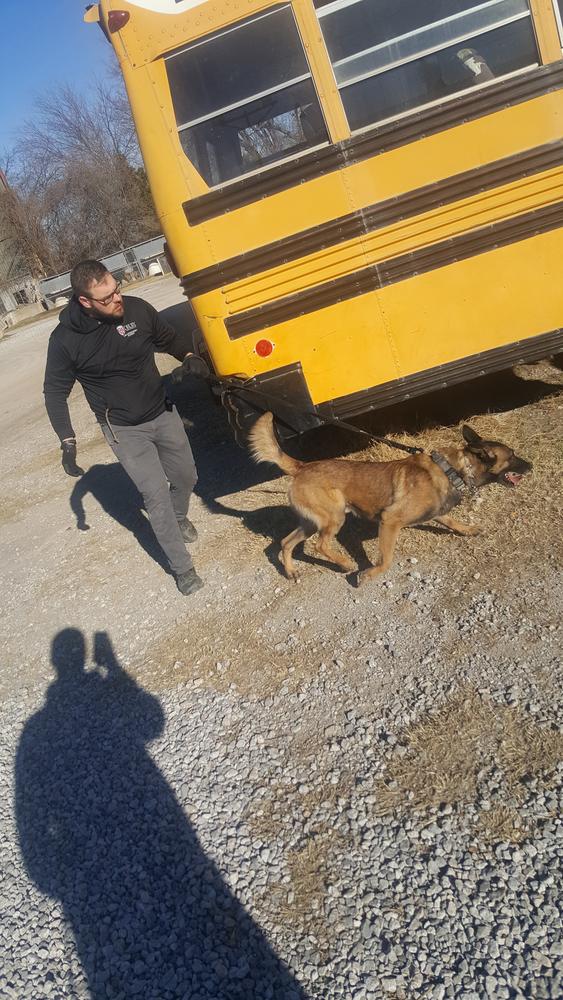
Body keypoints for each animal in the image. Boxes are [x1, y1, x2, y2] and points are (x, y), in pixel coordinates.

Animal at [249, 414, 532, 584]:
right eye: (512, 456)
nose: (531, 465)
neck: (453, 469)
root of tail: (302, 466)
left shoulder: (436, 510)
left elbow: (451, 520)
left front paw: (468, 529)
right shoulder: (390, 521)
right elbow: (385, 561)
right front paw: (369, 573)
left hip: (311, 522)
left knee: (286, 542)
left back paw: (290, 570)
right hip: (334, 517)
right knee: (320, 545)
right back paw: (345, 563)